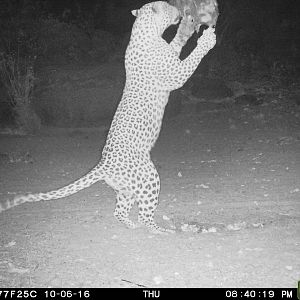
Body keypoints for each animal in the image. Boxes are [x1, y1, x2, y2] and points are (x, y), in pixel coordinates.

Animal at [0, 1, 216, 233]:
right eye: (167, 5)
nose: (179, 10)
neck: (145, 32)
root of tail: (104, 164)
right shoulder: (174, 74)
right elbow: (191, 59)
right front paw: (206, 40)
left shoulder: (171, 54)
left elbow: (177, 42)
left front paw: (186, 28)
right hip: (149, 176)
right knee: (145, 216)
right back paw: (162, 230)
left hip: (127, 188)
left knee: (119, 211)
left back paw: (130, 225)